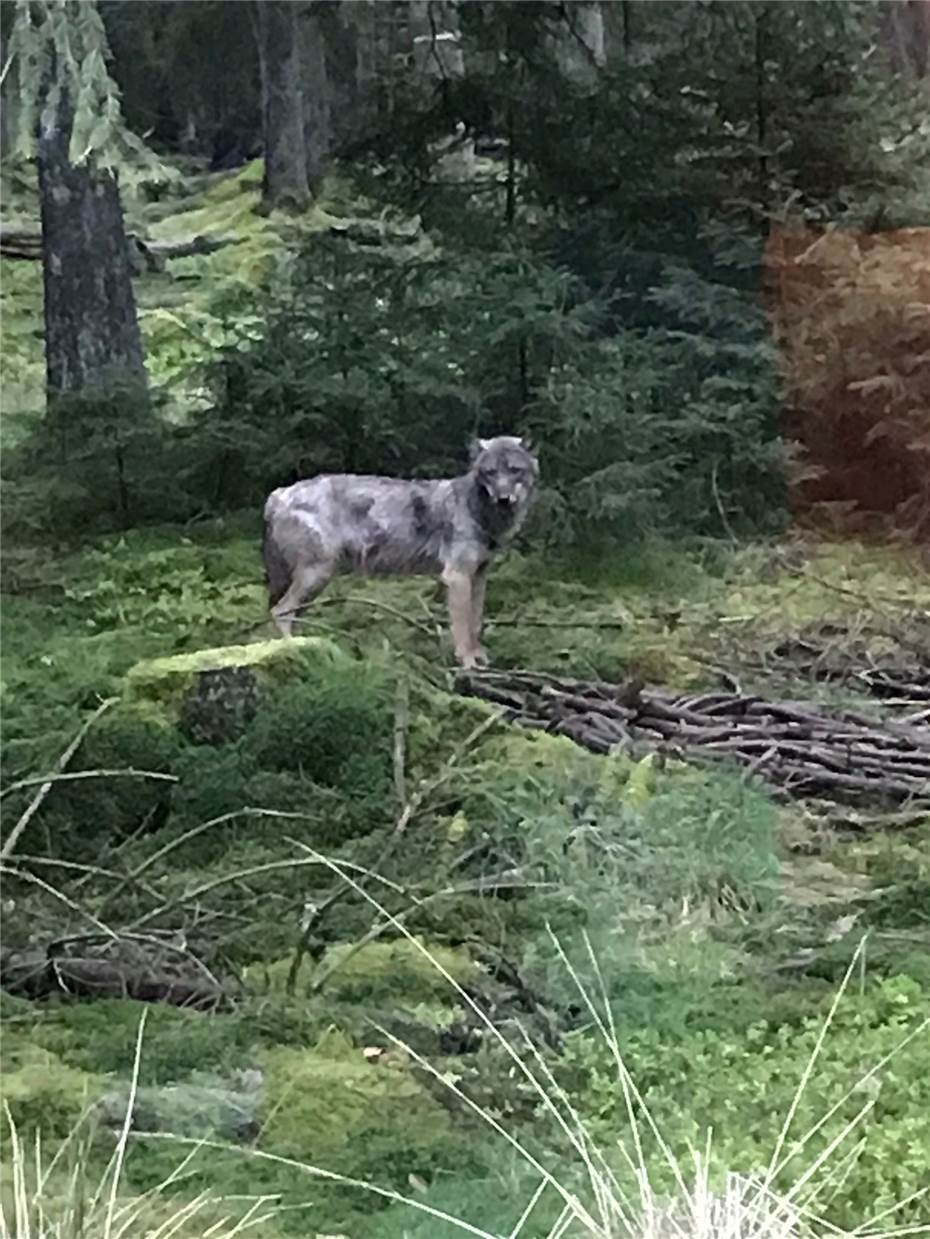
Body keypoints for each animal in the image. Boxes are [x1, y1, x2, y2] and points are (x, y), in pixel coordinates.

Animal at [260, 436, 537, 669]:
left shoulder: (479, 576)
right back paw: (293, 650)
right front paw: (468, 663)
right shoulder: (457, 577)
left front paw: (480, 659)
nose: (504, 499)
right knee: (280, 612)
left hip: (316, 583)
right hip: (316, 576)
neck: (479, 513)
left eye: (515, 470)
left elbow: (475, 623)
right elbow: (461, 628)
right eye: (490, 473)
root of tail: (277, 494)